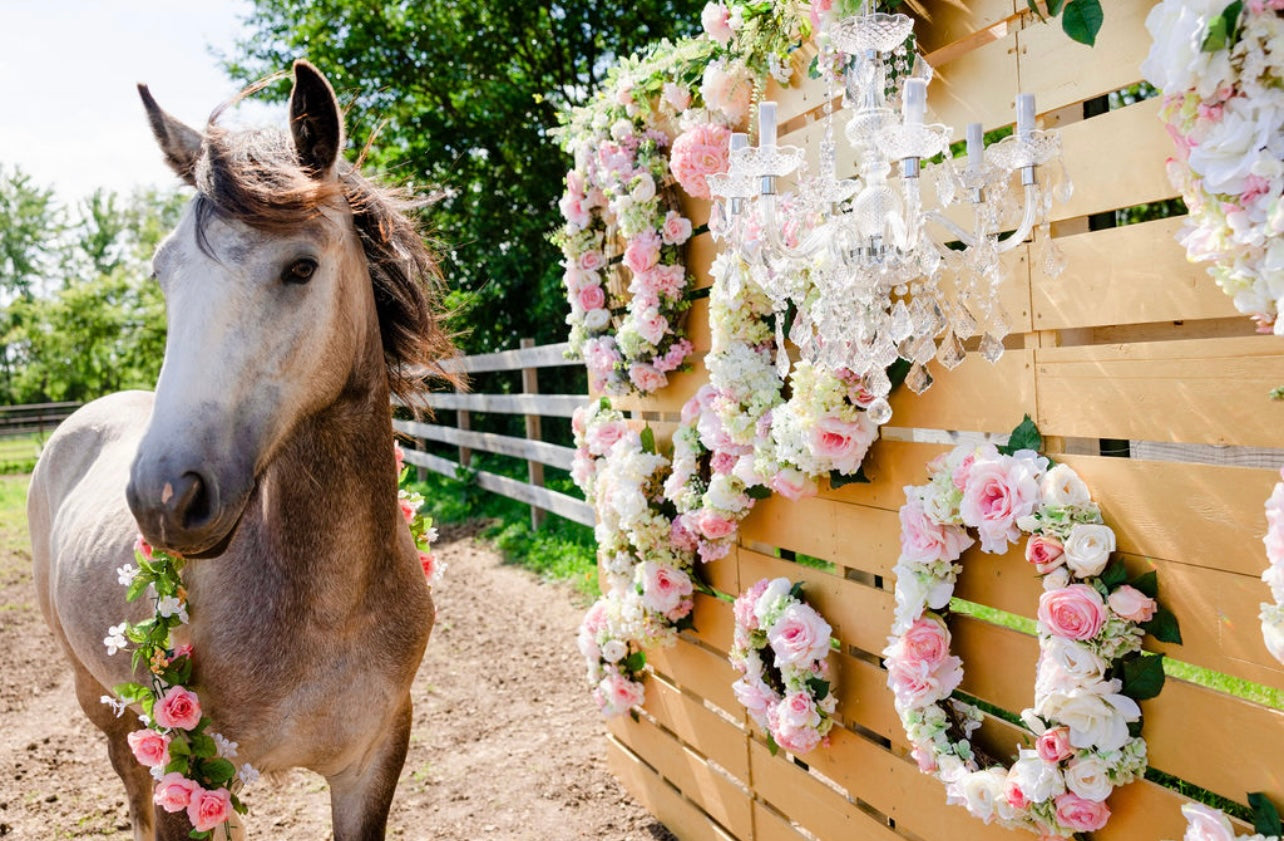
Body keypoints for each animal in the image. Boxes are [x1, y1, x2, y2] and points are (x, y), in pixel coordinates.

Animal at [27, 60, 459, 841]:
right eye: (164, 274)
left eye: (301, 267)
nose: (165, 498)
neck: (328, 608)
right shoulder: (180, 765)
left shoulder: (374, 759)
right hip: (102, 707)